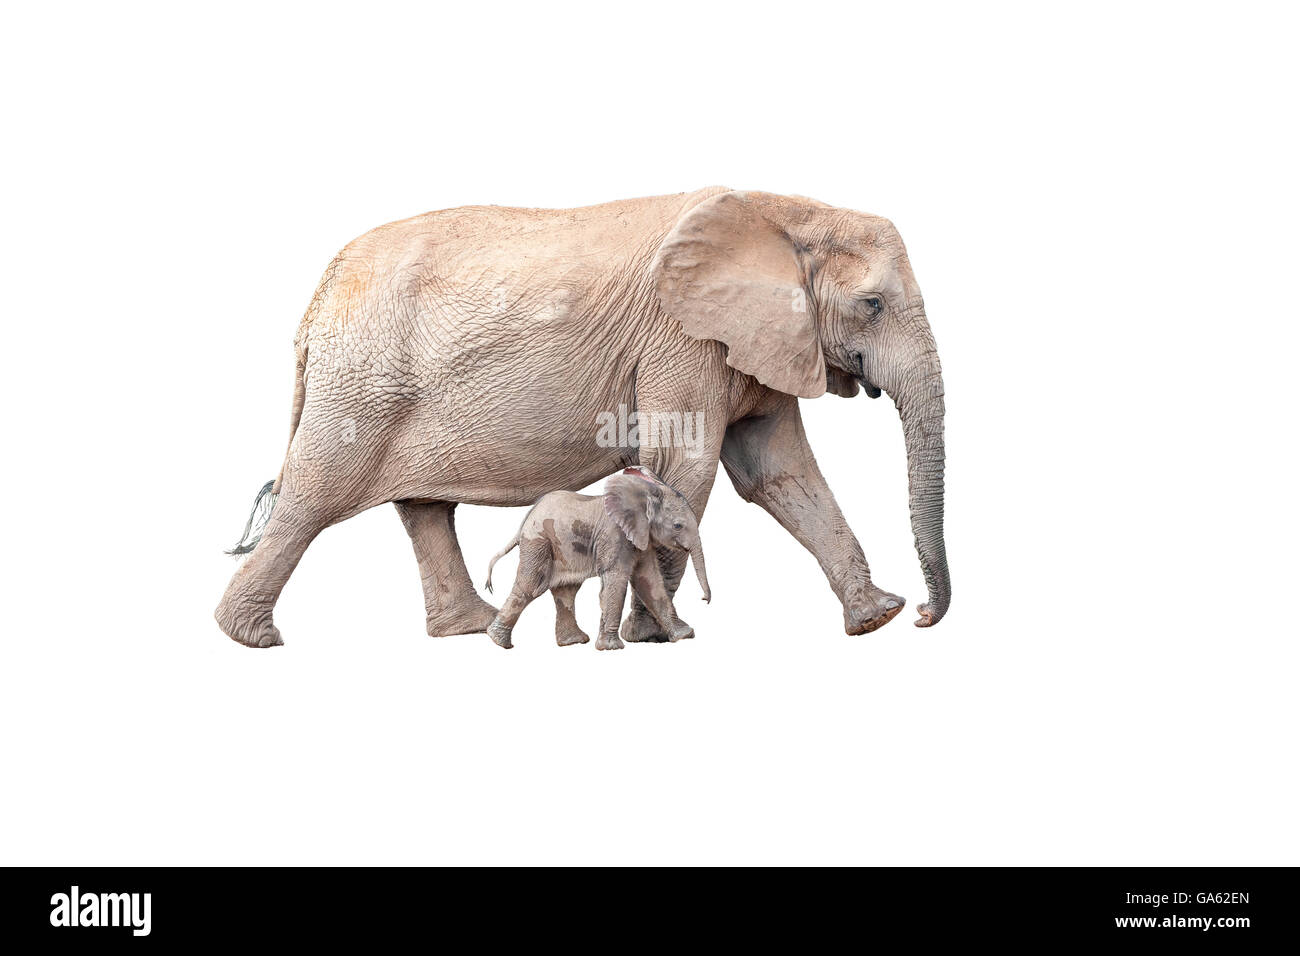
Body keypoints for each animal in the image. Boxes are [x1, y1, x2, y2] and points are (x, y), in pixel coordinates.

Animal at [483, 466, 711, 651]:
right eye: (678, 526)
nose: (704, 599)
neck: (642, 495)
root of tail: (526, 518)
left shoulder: (641, 539)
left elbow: (649, 582)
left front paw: (684, 635)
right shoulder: (614, 536)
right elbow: (617, 580)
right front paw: (611, 648)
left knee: (566, 590)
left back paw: (573, 642)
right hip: (538, 541)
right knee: (530, 586)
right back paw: (498, 641)